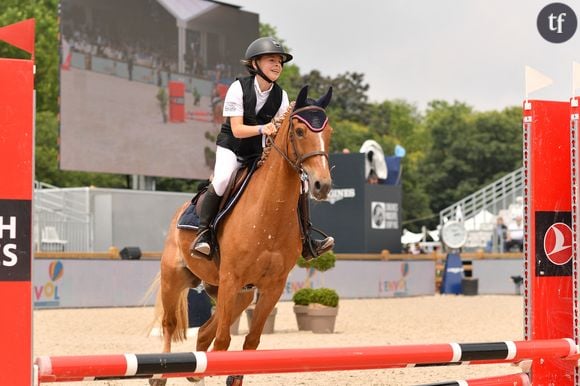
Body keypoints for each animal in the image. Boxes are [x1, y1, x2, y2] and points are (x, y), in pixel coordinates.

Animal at [150, 85, 334, 386]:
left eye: (328, 132)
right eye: (299, 131)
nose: (322, 185)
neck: (269, 215)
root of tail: (179, 212)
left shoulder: (271, 287)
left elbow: (250, 342)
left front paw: (233, 377)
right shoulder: (231, 278)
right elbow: (224, 340)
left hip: (236, 293)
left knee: (204, 332)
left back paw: (195, 375)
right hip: (176, 278)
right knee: (170, 323)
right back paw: (158, 375)